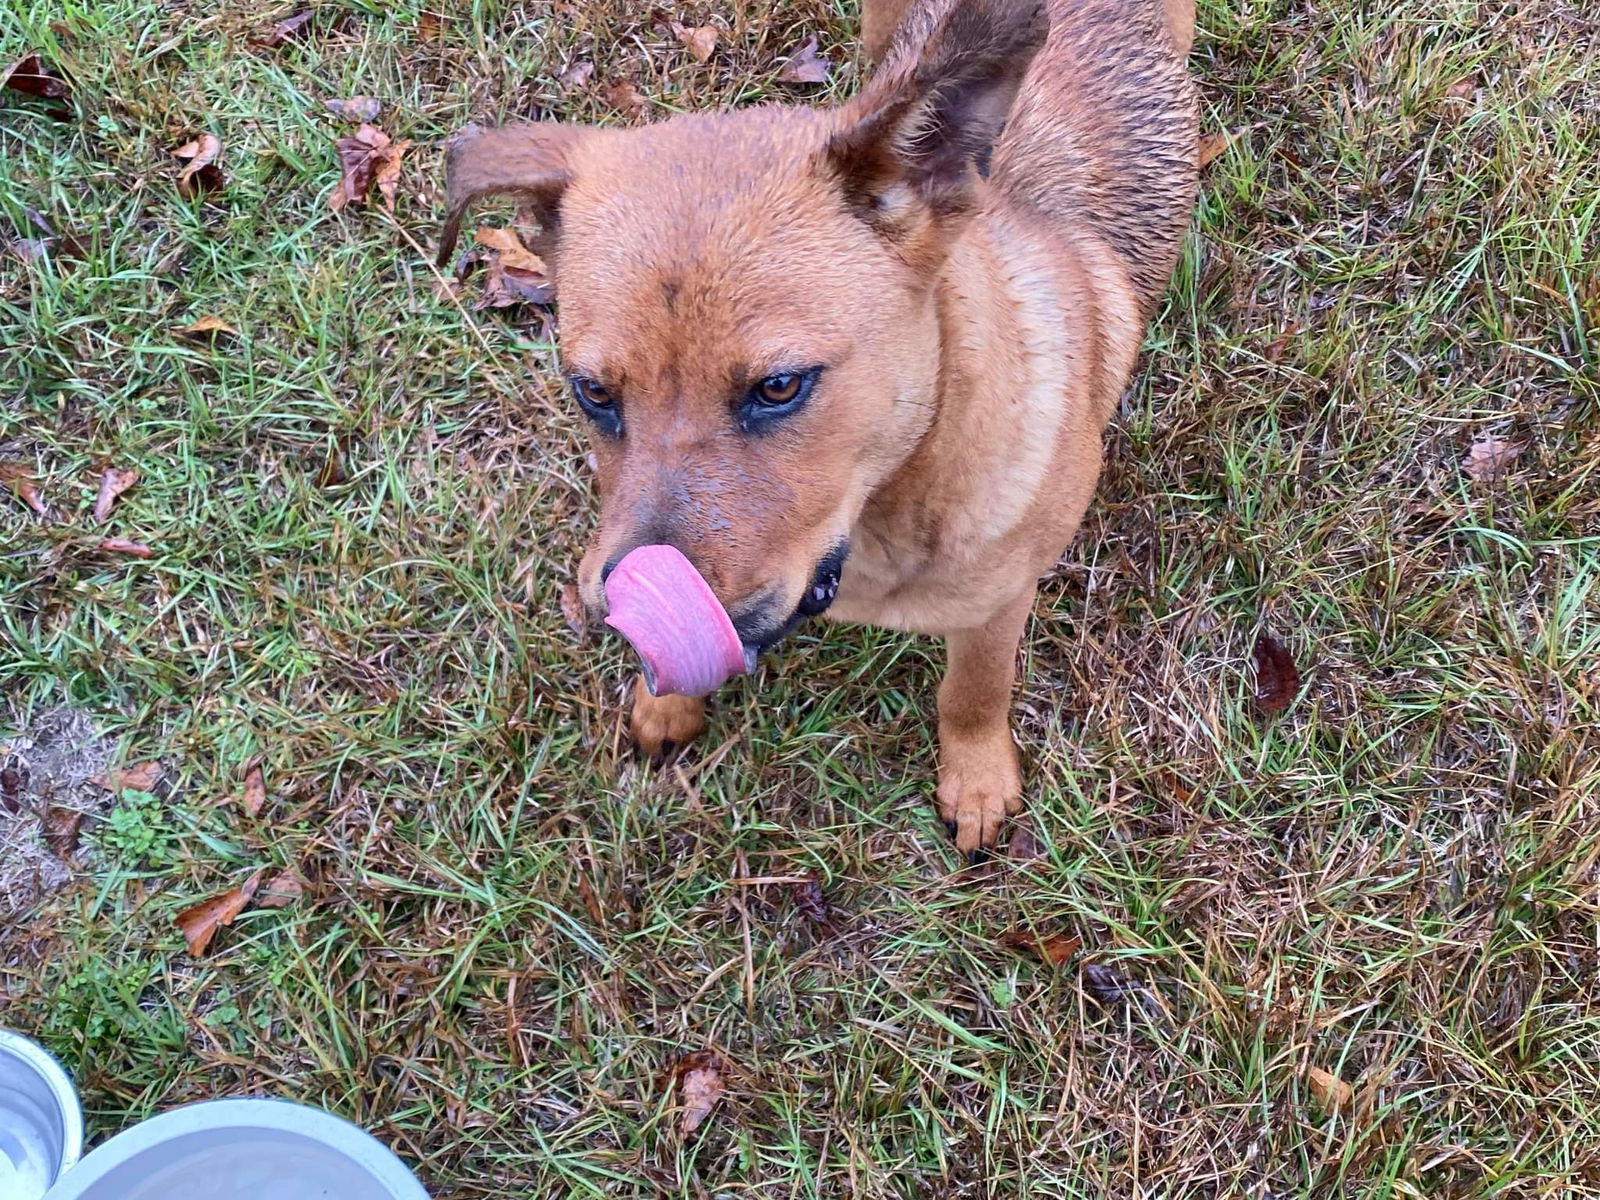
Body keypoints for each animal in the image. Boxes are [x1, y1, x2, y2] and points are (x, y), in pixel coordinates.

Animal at [435, 0, 1190, 857]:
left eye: (780, 387)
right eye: (592, 391)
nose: (634, 612)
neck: (886, 515)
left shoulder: (1000, 604)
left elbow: (974, 691)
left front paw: (976, 780)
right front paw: (664, 699)